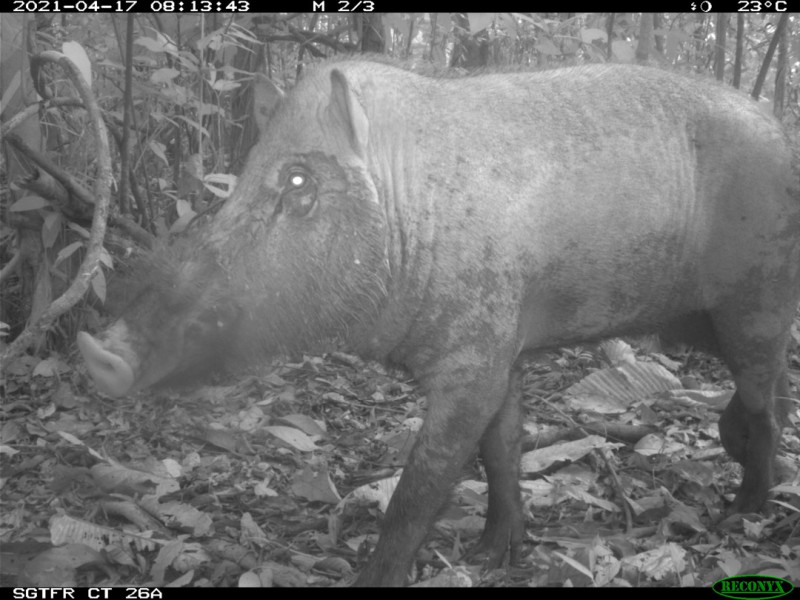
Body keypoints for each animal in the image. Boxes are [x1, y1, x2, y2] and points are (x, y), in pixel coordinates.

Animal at [78, 60, 800, 586]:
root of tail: (780, 130)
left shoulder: (474, 355)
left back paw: (744, 513)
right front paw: (492, 555)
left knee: (766, 404)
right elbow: (502, 449)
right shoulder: (505, 347)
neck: (409, 218)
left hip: (756, 299)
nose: (101, 352)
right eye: (245, 177)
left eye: (299, 181)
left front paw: (378, 577)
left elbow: (424, 481)